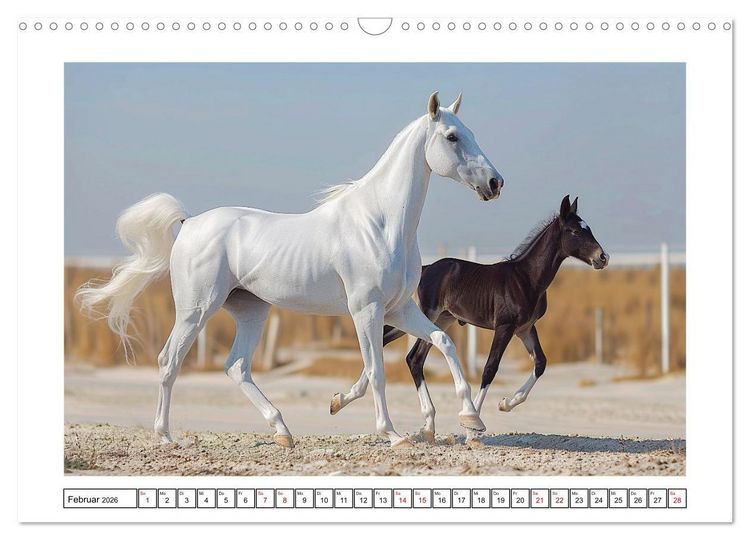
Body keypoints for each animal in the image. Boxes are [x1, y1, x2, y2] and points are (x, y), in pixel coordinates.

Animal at [76, 92, 504, 449]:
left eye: (469, 133)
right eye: (452, 137)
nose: (495, 183)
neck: (379, 223)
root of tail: (189, 223)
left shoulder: (400, 308)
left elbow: (442, 343)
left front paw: (470, 420)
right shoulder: (365, 309)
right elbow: (376, 370)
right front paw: (394, 435)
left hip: (251, 311)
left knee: (236, 367)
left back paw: (282, 432)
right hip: (196, 311)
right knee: (169, 362)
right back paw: (165, 437)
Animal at [331, 195, 609, 445]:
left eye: (589, 228)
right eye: (574, 231)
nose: (602, 258)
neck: (527, 278)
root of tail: (426, 269)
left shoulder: (526, 328)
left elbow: (540, 363)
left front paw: (505, 404)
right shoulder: (505, 327)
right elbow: (490, 368)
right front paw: (472, 428)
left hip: (440, 320)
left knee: (407, 354)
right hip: (427, 316)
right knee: (407, 354)